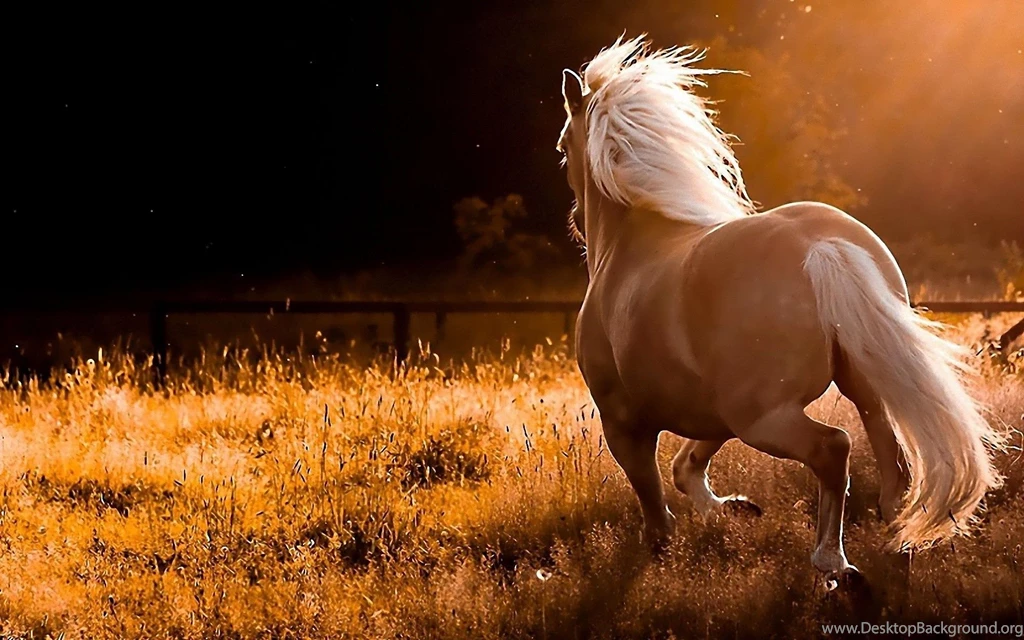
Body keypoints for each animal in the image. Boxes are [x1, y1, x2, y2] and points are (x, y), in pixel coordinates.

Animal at [555, 34, 1004, 582]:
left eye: (563, 147)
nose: (575, 223)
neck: (628, 247)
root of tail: (821, 247)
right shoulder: (711, 412)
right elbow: (686, 468)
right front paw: (731, 509)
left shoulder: (624, 422)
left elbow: (653, 500)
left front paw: (662, 551)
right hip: (854, 389)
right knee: (892, 460)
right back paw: (895, 539)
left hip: (764, 418)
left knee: (834, 448)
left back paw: (834, 563)